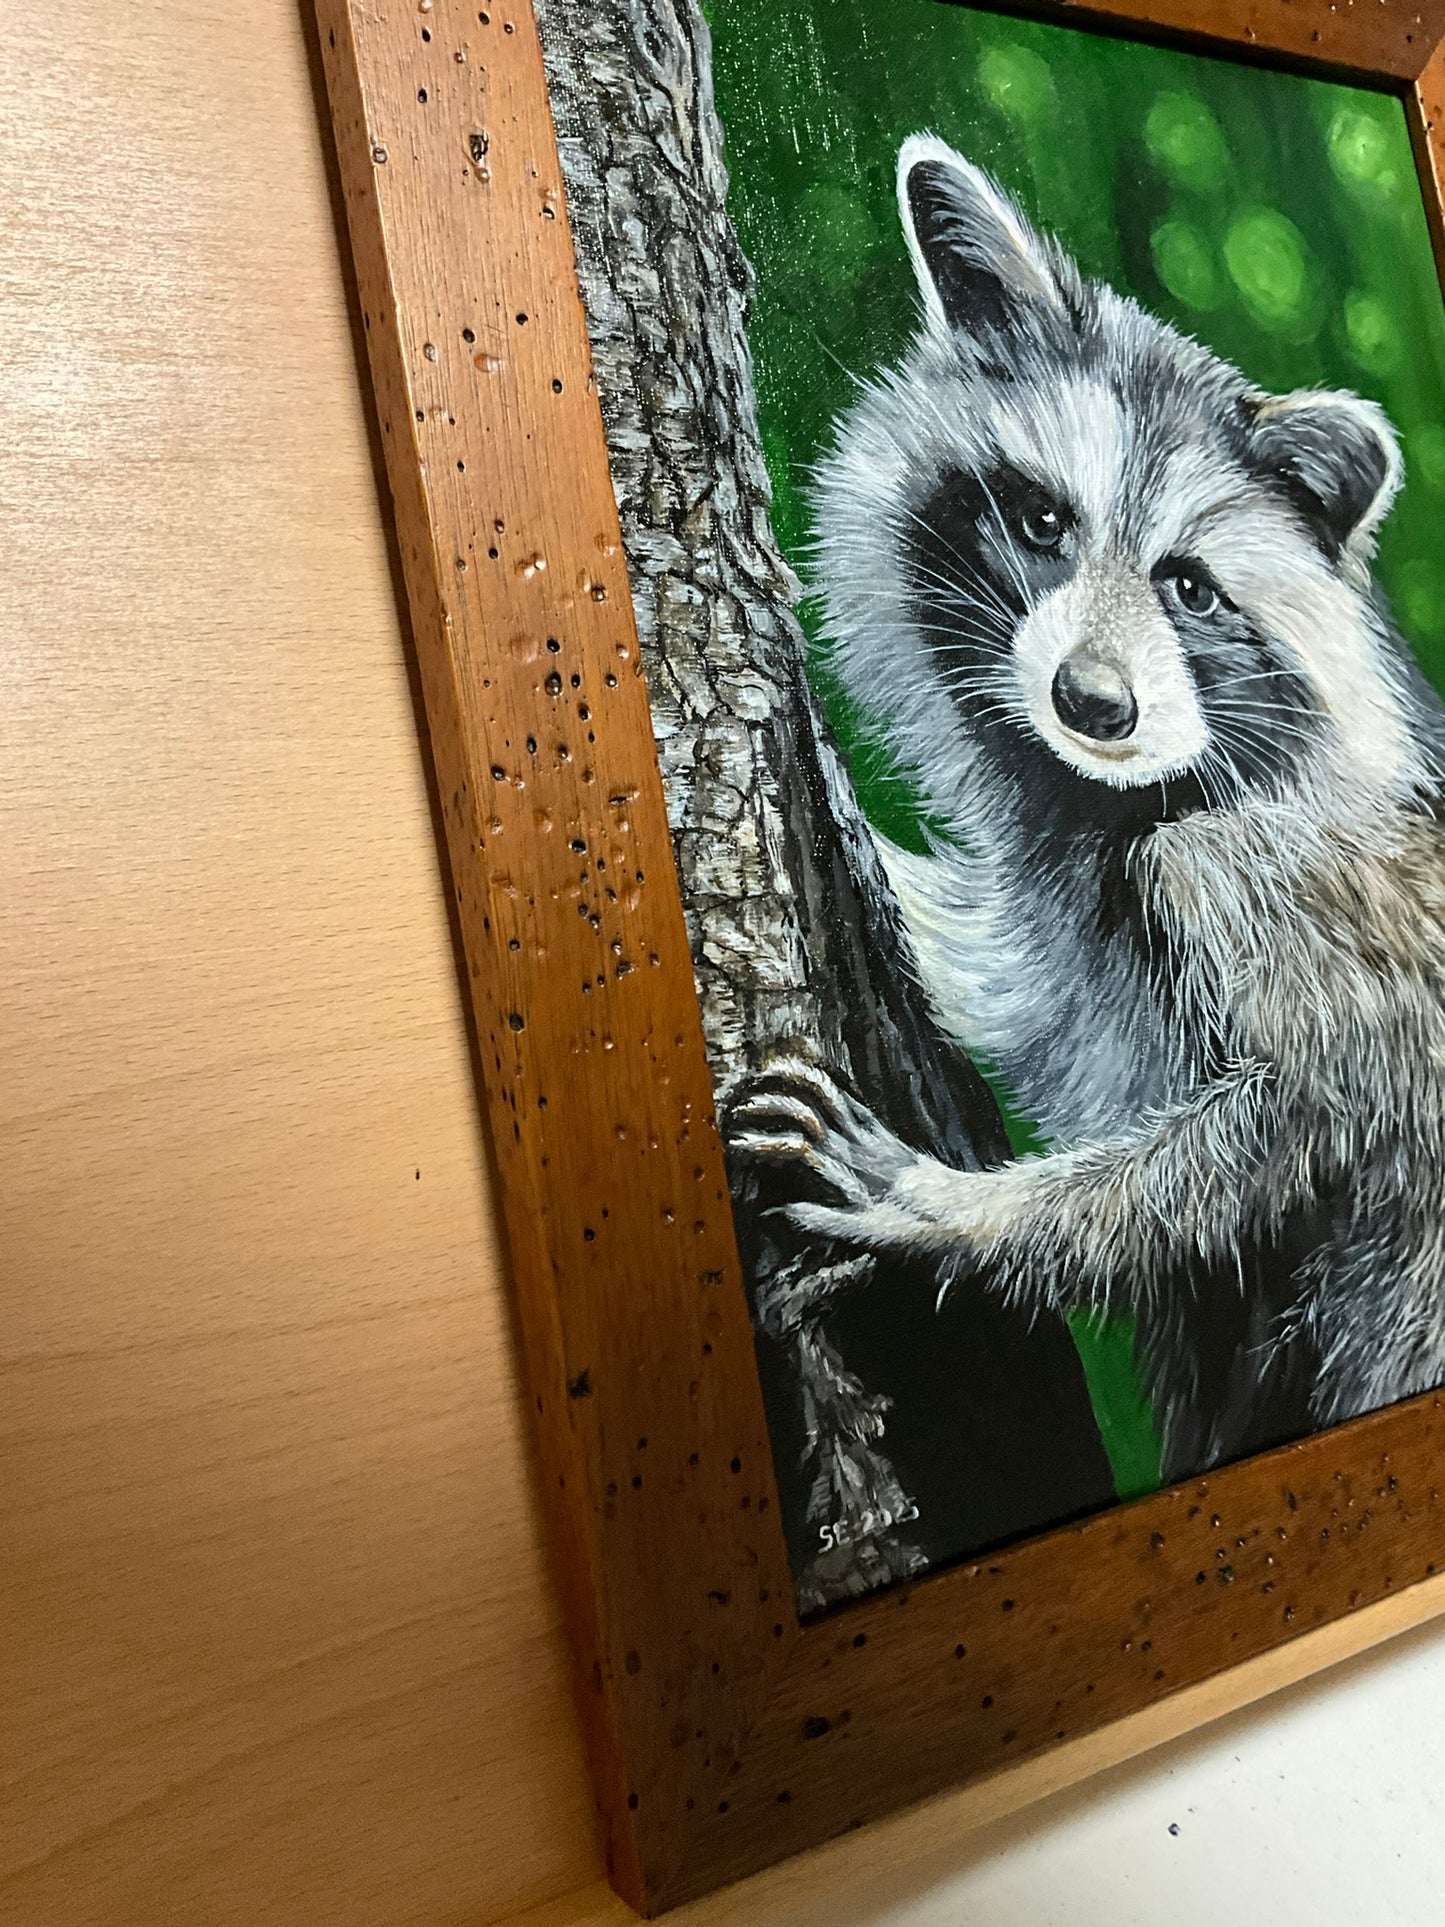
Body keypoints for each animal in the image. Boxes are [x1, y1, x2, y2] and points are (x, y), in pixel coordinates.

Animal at [731, 135, 1445, 1481]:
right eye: (1040, 519)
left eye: (1188, 588)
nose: (1092, 703)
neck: (1111, 799)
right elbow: (1006, 975)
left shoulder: (1276, 882)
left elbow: (1305, 1116)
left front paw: (957, 1213)